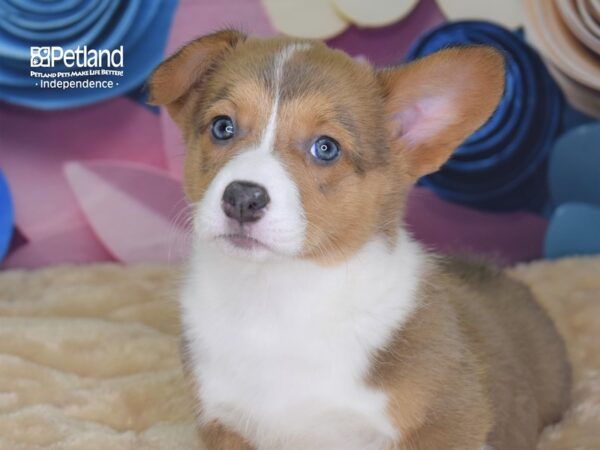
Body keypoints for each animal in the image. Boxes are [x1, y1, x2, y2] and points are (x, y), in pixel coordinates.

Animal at [148, 31, 568, 450]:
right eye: (222, 127)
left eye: (326, 148)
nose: (242, 198)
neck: (278, 297)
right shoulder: (225, 425)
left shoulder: (448, 421)